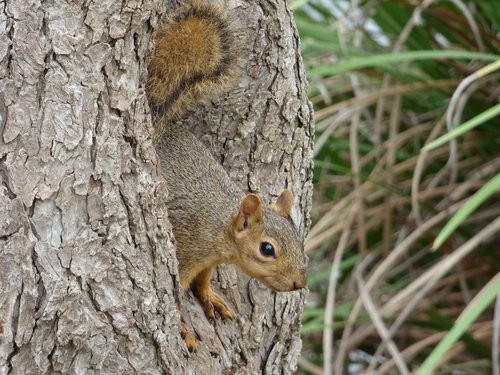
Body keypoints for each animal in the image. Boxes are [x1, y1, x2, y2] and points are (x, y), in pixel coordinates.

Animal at [146, 0, 306, 352]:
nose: (299, 283)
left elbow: (203, 281)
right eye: (267, 249)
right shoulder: (187, 249)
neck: (220, 225)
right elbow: (177, 295)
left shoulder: (208, 261)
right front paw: (184, 329)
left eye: (299, 239)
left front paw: (210, 298)